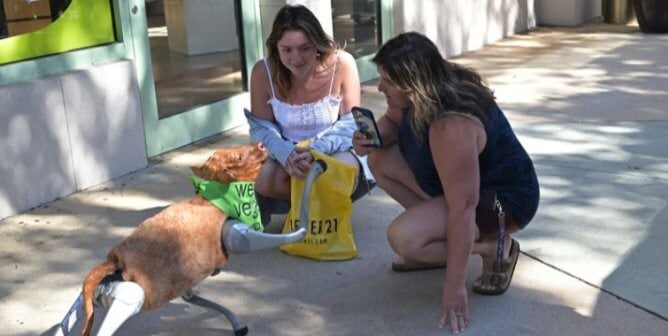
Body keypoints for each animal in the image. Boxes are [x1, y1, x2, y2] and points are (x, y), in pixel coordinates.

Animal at [54, 144, 328, 336]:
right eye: (238, 158)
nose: (262, 145)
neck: (216, 198)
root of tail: (113, 263)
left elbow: (191, 297)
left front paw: (235, 322)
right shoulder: (236, 235)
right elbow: (297, 230)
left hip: (88, 300)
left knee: (69, 317)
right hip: (132, 296)